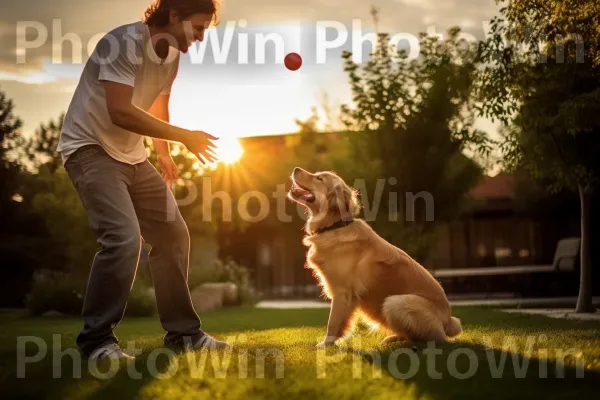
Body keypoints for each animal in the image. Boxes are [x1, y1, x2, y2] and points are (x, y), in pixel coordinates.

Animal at [288, 167, 462, 346]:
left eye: (319, 179)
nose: (296, 169)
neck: (335, 226)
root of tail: (448, 321)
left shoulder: (343, 292)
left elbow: (333, 322)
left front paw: (325, 345)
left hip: (394, 302)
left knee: (427, 339)